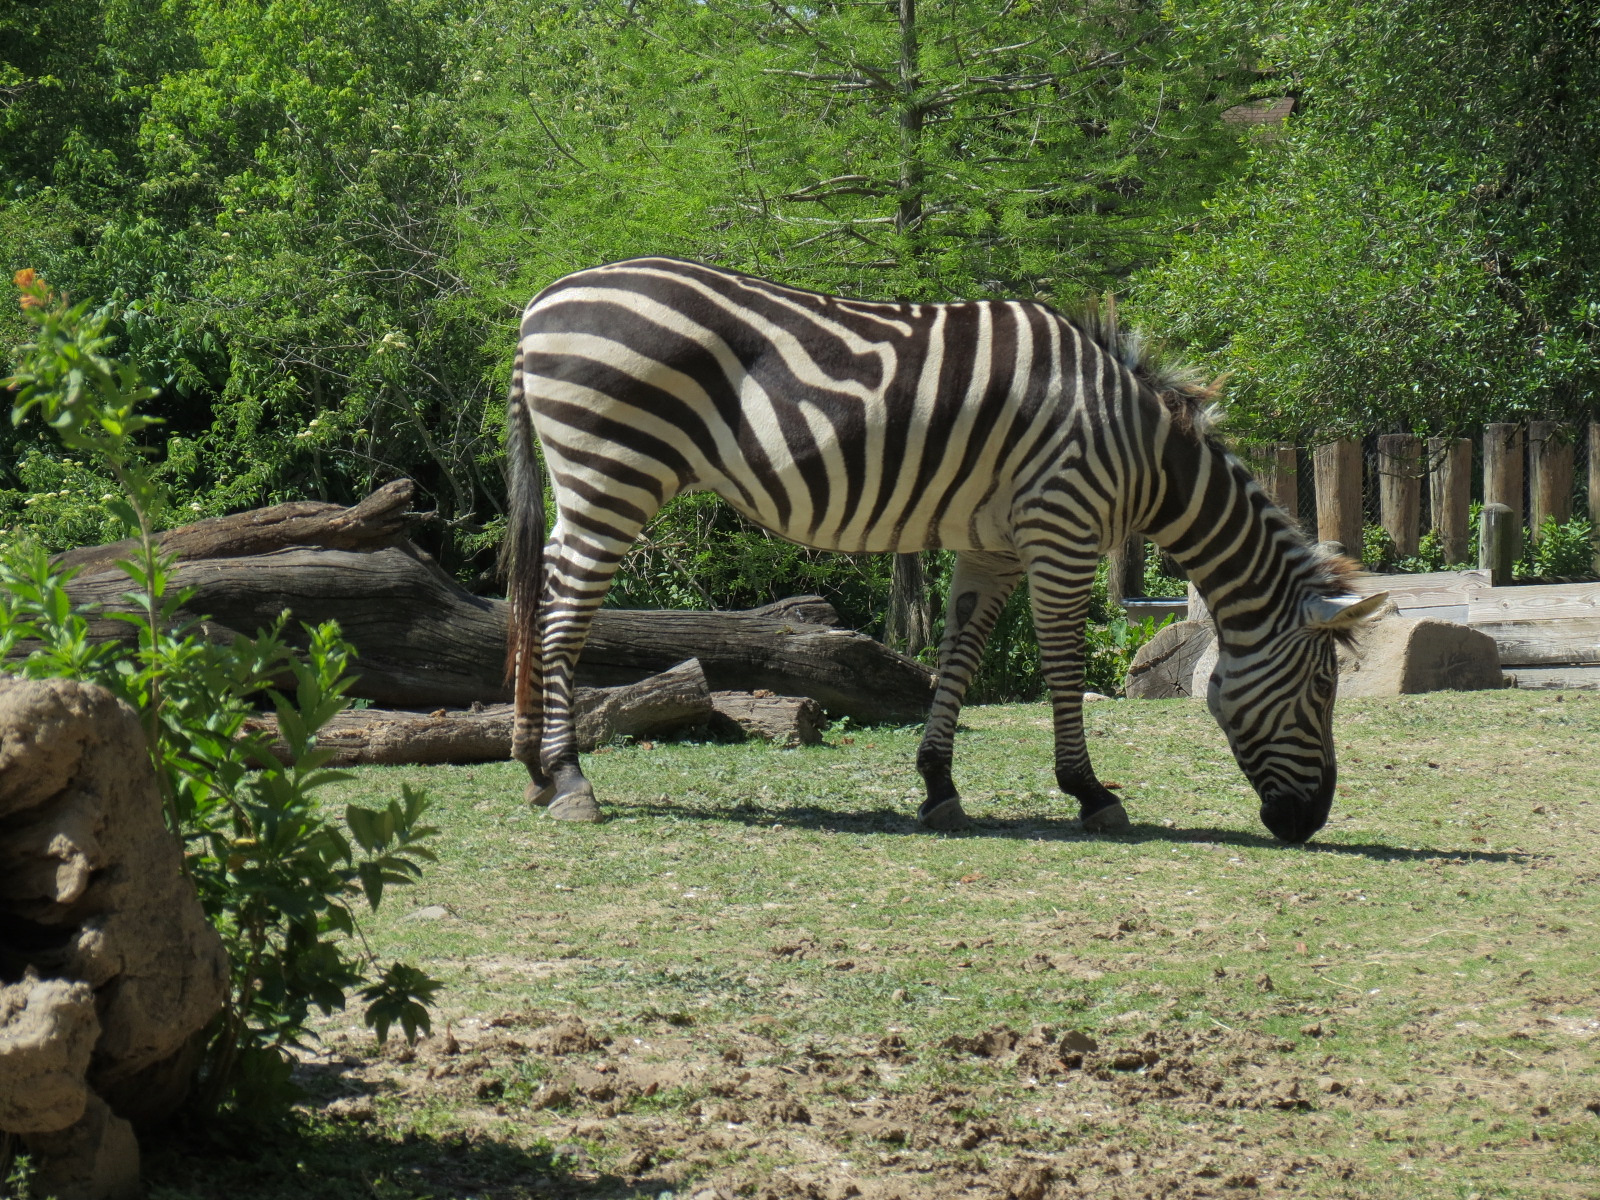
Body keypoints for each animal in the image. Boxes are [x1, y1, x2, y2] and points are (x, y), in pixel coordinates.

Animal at [502, 257, 1388, 842]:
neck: (1141, 450)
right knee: (563, 618)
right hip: (614, 472)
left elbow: (959, 655)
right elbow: (1062, 661)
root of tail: (542, 300)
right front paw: (1089, 792)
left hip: (589, 479)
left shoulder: (992, 545)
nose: (1308, 822)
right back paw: (570, 777)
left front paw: (937, 786)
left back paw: (534, 770)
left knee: (536, 600)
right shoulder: (1062, 524)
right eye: (1322, 689)